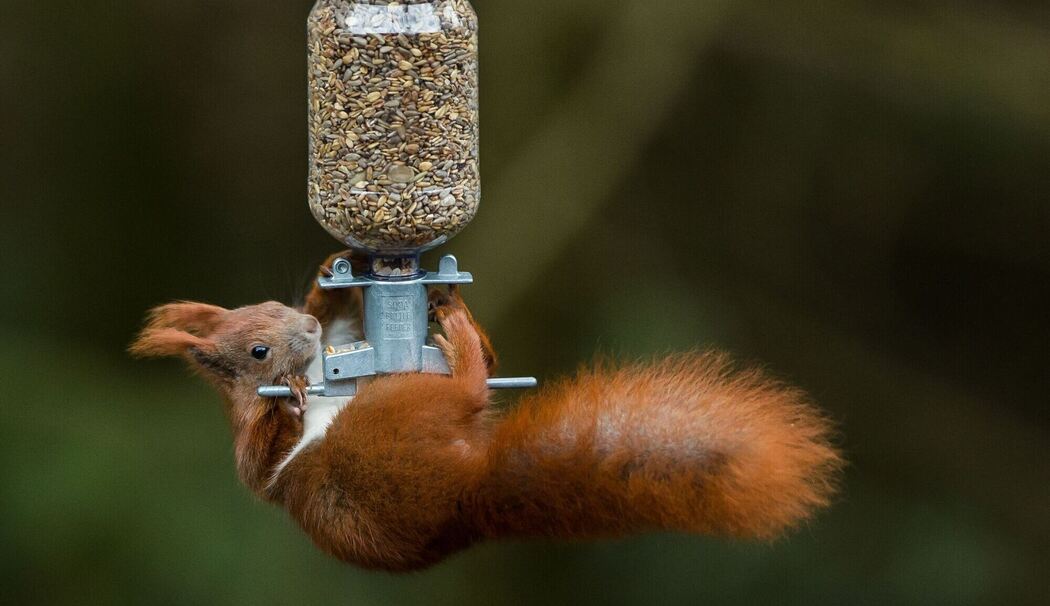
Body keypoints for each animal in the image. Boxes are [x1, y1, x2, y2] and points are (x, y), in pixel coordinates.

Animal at [130, 252, 843, 572]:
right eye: (257, 348)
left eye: (276, 307)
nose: (303, 327)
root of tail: (465, 490)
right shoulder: (250, 445)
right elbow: (261, 458)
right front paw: (291, 401)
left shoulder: (337, 334)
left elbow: (340, 313)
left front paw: (335, 271)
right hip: (391, 415)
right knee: (470, 391)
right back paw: (465, 346)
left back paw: (461, 317)